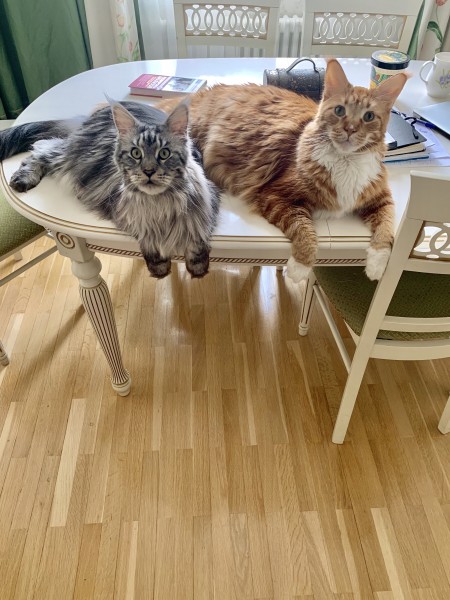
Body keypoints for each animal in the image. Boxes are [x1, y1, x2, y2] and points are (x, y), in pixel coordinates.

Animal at [0, 101, 220, 279]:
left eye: (164, 154)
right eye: (136, 154)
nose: (149, 171)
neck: (161, 204)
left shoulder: (204, 206)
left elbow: (197, 233)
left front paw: (198, 267)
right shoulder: (124, 212)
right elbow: (145, 233)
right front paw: (159, 266)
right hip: (71, 158)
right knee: (41, 149)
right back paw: (23, 178)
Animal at [156, 59, 408, 282]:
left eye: (368, 116)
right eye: (339, 111)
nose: (350, 129)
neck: (345, 162)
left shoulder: (381, 197)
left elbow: (387, 230)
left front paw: (377, 266)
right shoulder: (277, 197)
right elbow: (305, 230)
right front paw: (300, 267)